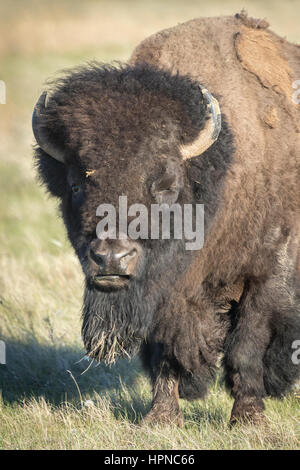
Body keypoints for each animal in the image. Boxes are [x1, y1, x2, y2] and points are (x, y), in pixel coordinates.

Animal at [32, 12, 300, 428]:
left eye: (165, 184)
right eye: (76, 184)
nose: (111, 258)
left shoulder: (266, 274)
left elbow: (247, 345)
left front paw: (249, 418)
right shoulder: (162, 298)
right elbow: (164, 353)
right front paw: (160, 418)